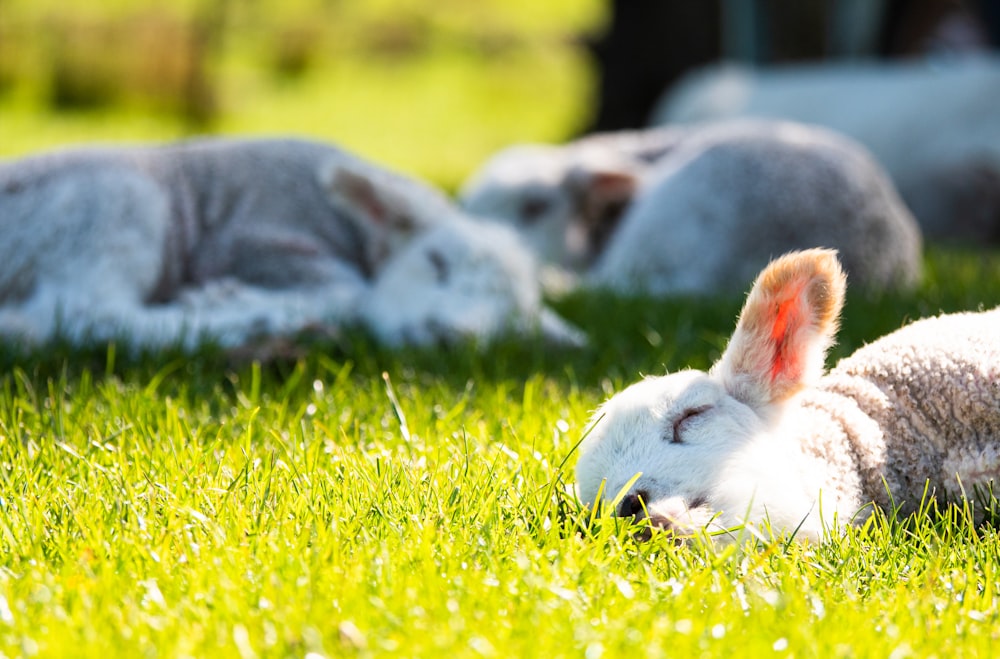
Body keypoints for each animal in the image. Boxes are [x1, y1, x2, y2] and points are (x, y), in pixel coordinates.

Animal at [0, 138, 584, 350]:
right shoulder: (263, 239)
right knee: (85, 312)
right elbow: (352, 295)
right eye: (435, 262)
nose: (449, 334)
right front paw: (225, 300)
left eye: (508, 324)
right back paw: (250, 325)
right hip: (113, 204)